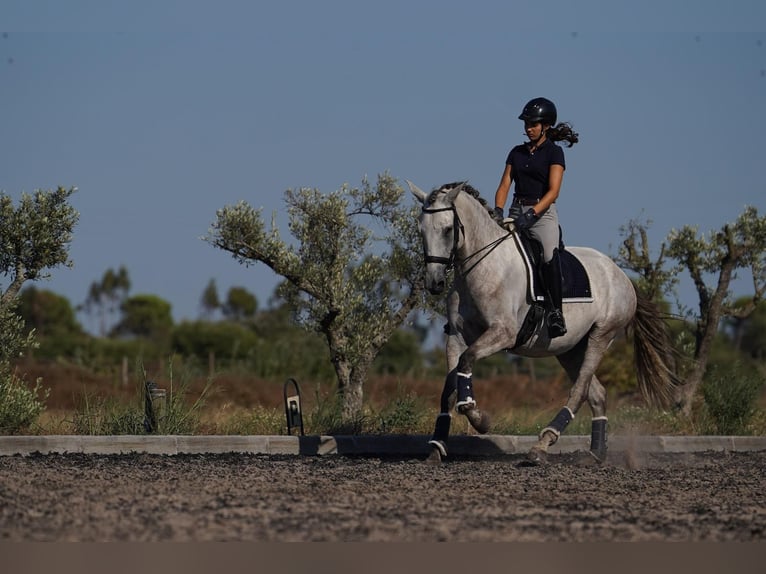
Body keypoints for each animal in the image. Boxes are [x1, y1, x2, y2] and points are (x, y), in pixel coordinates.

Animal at [412, 182, 680, 466]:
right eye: (421, 230)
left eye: (447, 229)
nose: (435, 283)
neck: (482, 266)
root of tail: (620, 275)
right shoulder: (457, 337)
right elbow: (450, 389)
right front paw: (436, 448)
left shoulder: (503, 333)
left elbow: (466, 362)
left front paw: (479, 419)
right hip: (570, 349)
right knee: (597, 394)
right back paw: (595, 453)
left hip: (601, 336)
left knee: (580, 391)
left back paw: (541, 446)